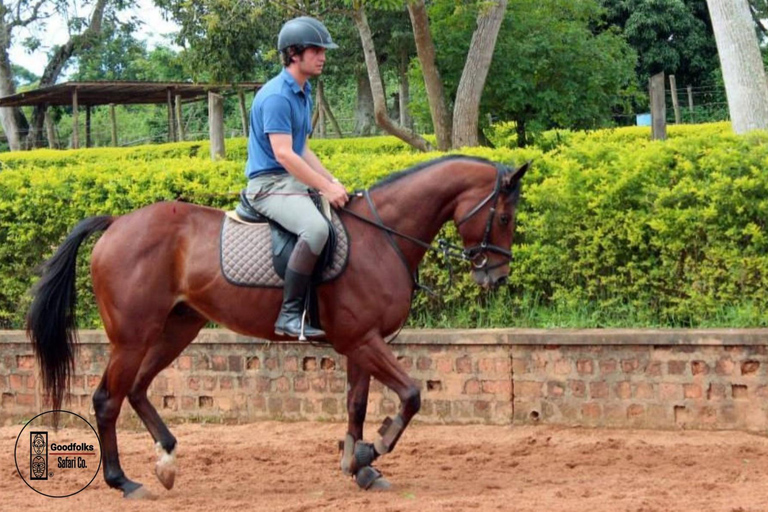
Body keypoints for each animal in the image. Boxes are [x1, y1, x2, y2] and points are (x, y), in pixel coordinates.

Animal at [25, 154, 528, 498]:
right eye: (504, 217)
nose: (497, 277)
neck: (380, 237)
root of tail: (115, 224)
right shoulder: (363, 340)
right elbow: (411, 395)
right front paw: (373, 451)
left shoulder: (361, 343)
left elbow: (357, 405)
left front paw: (359, 466)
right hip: (132, 337)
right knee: (107, 399)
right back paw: (122, 481)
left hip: (176, 330)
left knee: (137, 389)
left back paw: (166, 458)